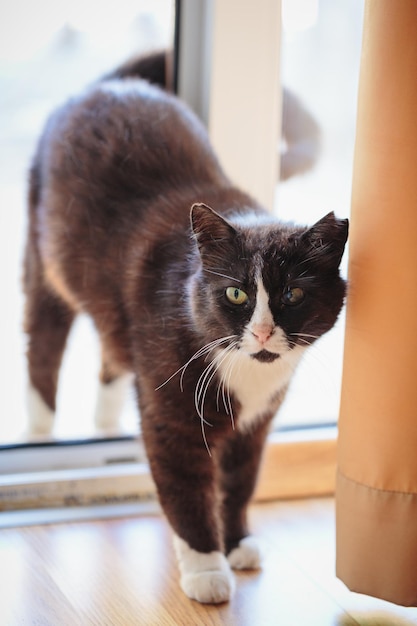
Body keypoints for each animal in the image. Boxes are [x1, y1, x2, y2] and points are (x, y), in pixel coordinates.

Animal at [23, 56, 348, 604]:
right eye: (236, 294)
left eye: (293, 296)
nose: (263, 332)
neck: (246, 370)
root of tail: (110, 85)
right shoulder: (172, 413)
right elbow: (186, 485)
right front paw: (205, 568)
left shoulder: (257, 424)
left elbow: (239, 481)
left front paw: (236, 542)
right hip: (45, 258)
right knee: (42, 338)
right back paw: (40, 427)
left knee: (113, 350)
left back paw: (105, 420)